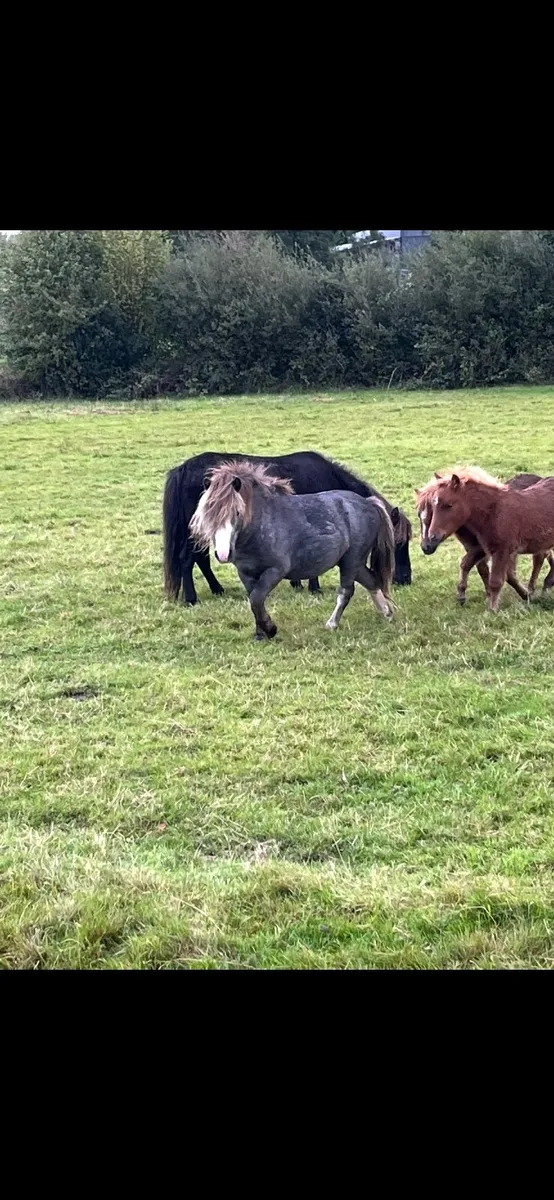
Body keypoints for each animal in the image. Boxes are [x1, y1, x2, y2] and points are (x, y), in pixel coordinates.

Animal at [163, 450, 412, 606]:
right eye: (398, 543)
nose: (405, 579)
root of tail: (183, 469)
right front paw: (313, 586)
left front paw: (298, 583)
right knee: (188, 559)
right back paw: (192, 598)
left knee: (200, 559)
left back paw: (217, 589)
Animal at [189, 460, 396, 639]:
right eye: (208, 514)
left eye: (237, 512)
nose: (223, 554)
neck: (262, 525)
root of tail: (369, 503)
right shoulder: (246, 573)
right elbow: (254, 600)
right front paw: (261, 633)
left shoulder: (275, 570)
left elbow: (256, 599)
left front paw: (270, 629)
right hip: (352, 562)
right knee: (372, 581)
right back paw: (387, 614)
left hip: (351, 561)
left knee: (346, 591)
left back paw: (332, 624)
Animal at [417, 465, 554, 611]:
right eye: (432, 505)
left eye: (449, 505)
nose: (431, 539)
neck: (495, 511)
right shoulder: (486, 549)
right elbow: (473, 566)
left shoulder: (502, 550)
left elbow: (496, 580)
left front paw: (492, 611)